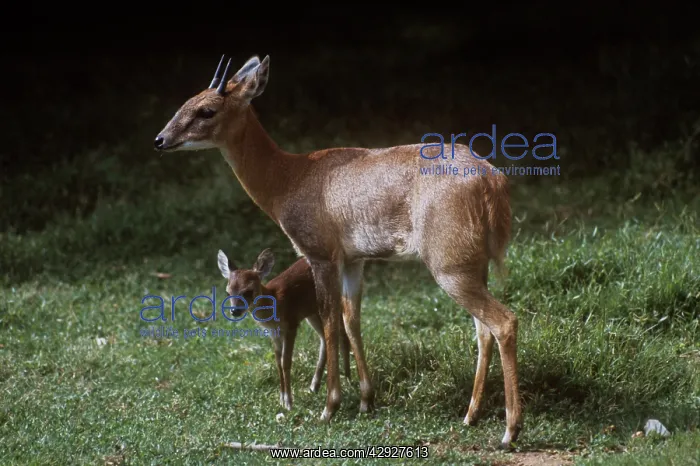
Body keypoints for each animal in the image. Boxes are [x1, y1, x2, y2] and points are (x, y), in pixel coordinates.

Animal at [216, 248, 352, 410]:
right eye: (228, 292)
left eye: (248, 291)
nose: (234, 311)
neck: (275, 304)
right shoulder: (274, 333)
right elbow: (278, 362)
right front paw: (281, 399)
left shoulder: (291, 324)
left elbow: (285, 362)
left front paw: (288, 402)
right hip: (311, 312)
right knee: (324, 339)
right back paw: (314, 386)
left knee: (343, 335)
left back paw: (348, 380)